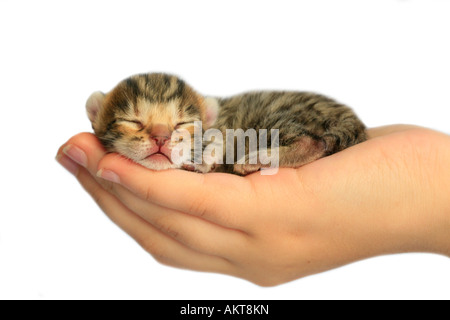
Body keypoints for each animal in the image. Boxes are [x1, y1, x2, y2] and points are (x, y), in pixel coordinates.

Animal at [86, 72, 368, 175]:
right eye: (132, 121)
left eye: (182, 123)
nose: (161, 138)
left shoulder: (224, 129)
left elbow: (217, 143)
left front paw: (202, 163)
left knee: (314, 142)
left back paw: (255, 159)